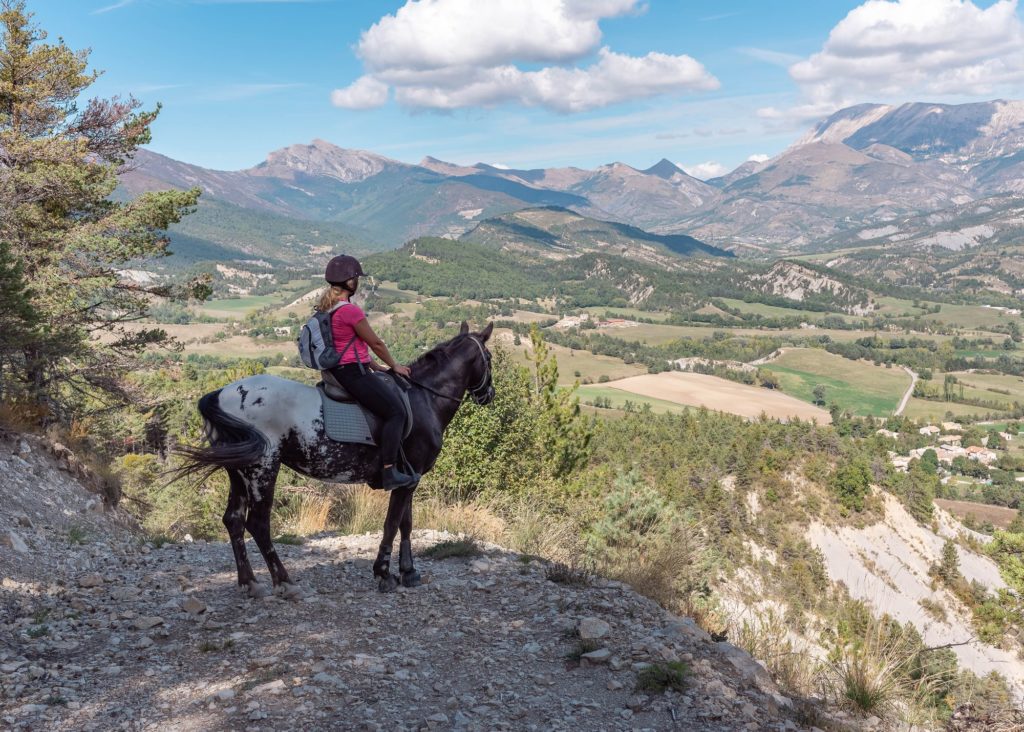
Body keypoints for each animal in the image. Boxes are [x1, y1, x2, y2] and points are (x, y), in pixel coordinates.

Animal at [176, 323, 495, 597]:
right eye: (489, 358)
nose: (489, 395)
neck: (422, 398)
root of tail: (222, 393)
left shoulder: (410, 477)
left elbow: (406, 523)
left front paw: (408, 572)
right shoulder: (407, 477)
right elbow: (392, 523)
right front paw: (384, 573)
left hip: (239, 471)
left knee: (233, 520)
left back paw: (249, 583)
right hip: (262, 468)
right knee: (258, 524)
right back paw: (284, 582)